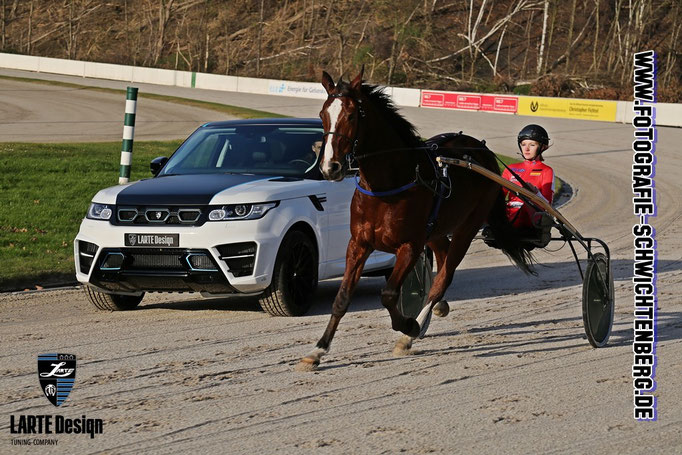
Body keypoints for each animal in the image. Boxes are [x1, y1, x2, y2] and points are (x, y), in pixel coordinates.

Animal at [294, 69, 532, 372]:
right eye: (323, 114)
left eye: (350, 115)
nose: (330, 167)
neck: (387, 185)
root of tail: (484, 153)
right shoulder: (358, 243)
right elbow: (342, 297)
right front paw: (317, 350)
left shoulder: (409, 245)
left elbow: (389, 294)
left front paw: (408, 326)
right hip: (436, 230)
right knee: (442, 258)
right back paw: (438, 307)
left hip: (468, 225)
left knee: (444, 276)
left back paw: (414, 330)